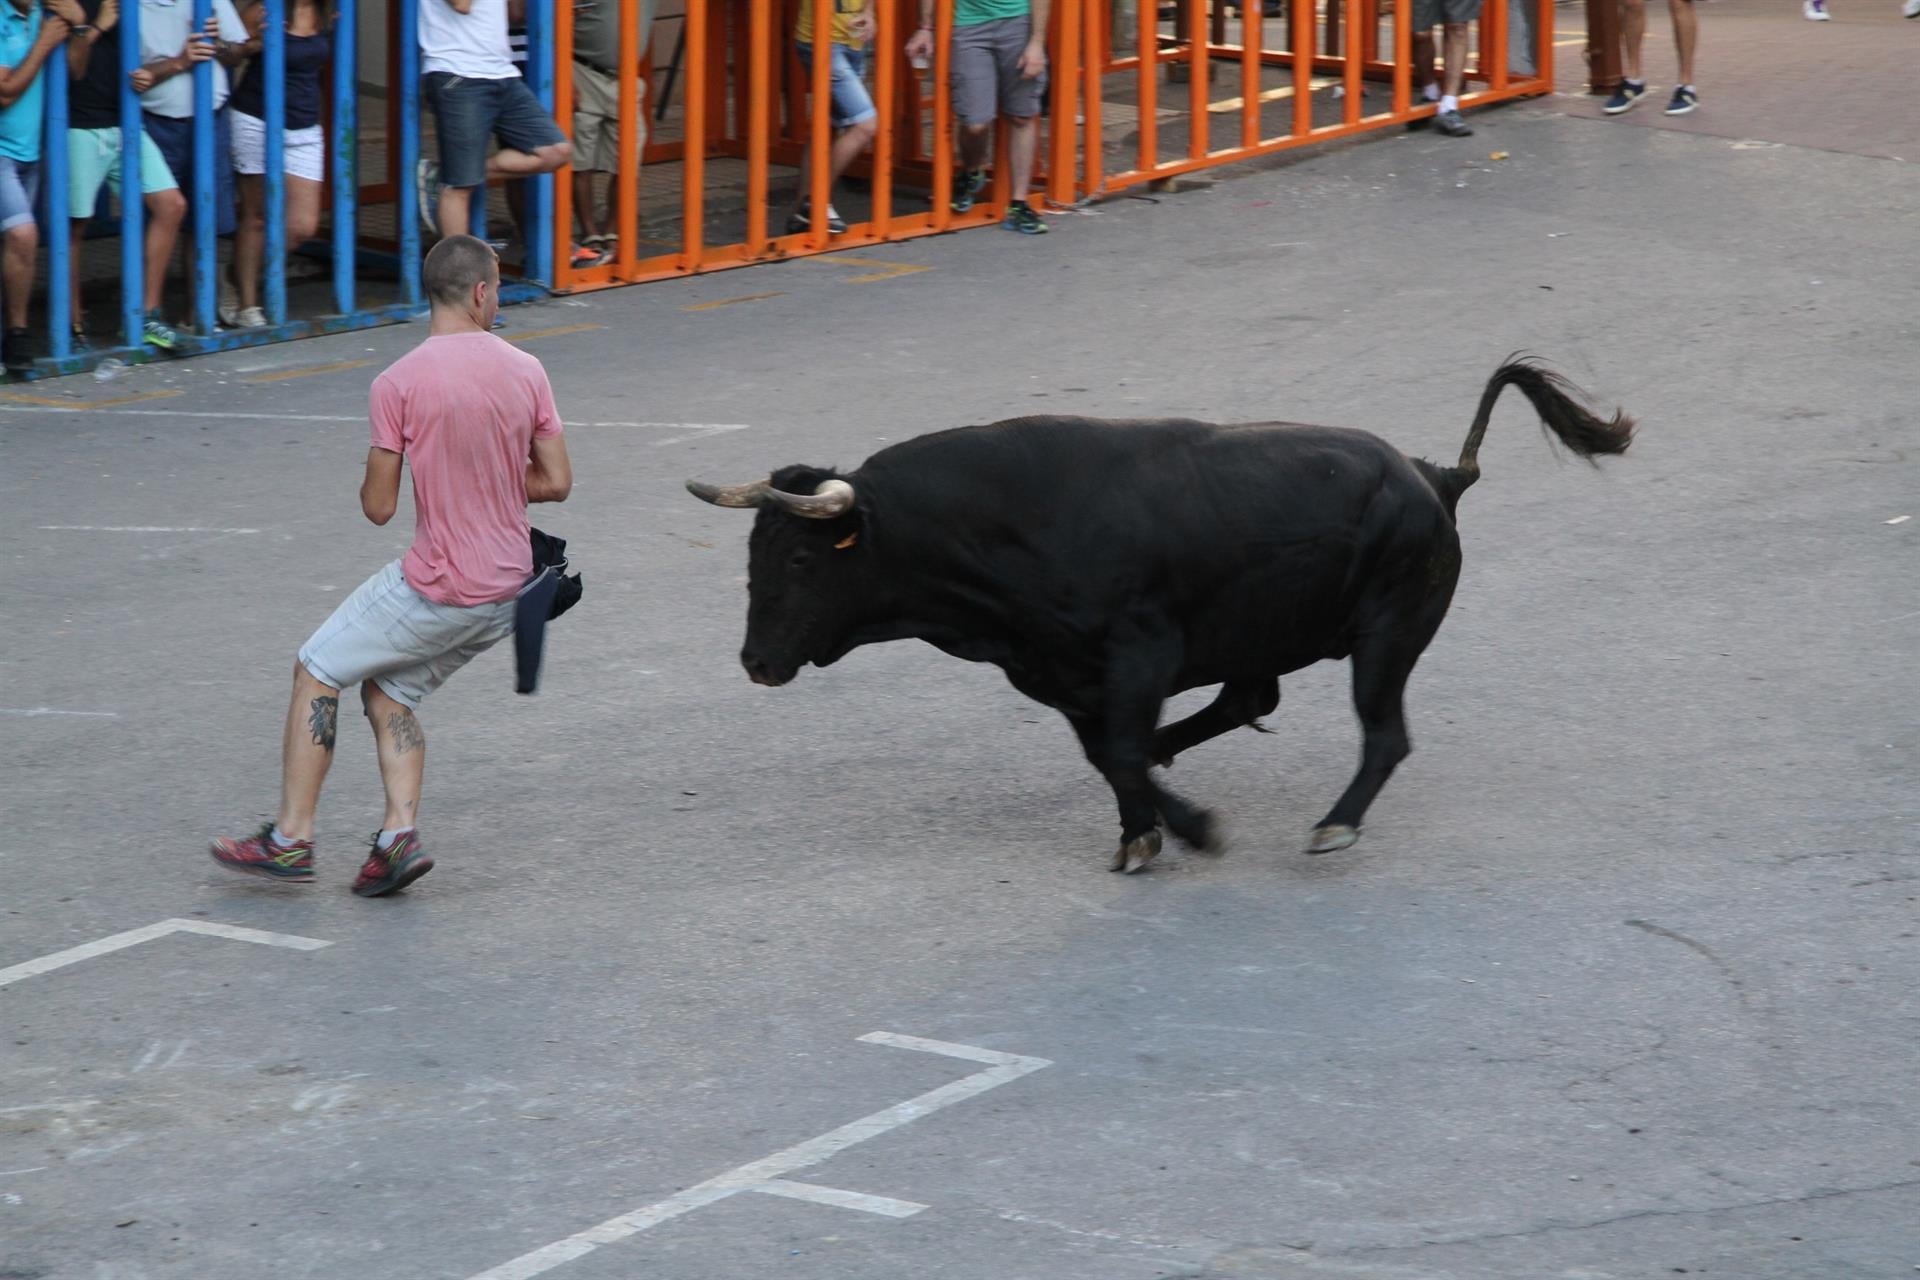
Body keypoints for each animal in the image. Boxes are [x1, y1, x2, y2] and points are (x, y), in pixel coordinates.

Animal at [683, 360, 1628, 882]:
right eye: (754, 553)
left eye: (799, 561)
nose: (756, 661)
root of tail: (1433, 476)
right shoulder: (1063, 673)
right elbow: (1112, 753)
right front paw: (1149, 829)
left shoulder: (1138, 655)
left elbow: (1122, 750)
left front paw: (1183, 828)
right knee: (1249, 699)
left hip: (1386, 638)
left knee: (1382, 736)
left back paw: (1334, 823)